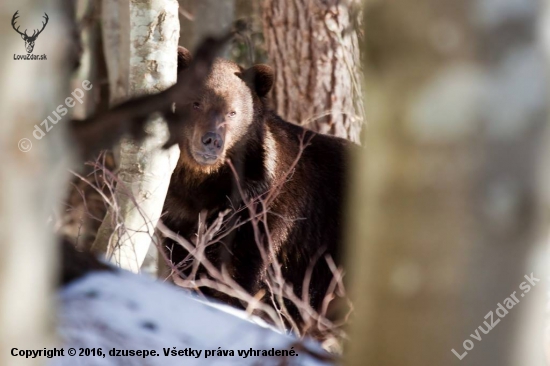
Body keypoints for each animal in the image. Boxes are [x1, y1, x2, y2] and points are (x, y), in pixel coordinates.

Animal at [164, 46, 354, 324]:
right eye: (196, 103)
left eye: (233, 111)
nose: (212, 140)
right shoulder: (178, 213)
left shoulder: (261, 211)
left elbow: (237, 273)